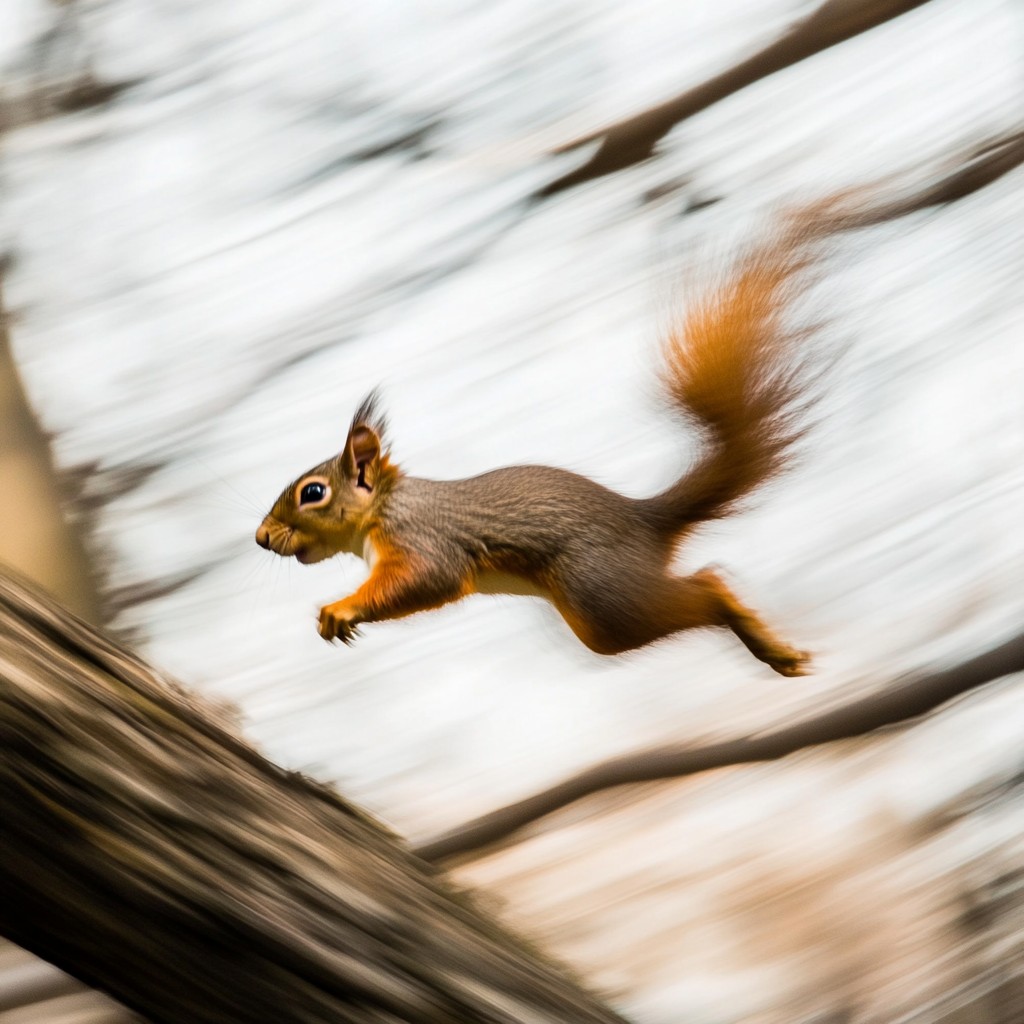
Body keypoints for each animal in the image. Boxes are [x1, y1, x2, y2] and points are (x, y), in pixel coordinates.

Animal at [256, 209, 834, 675]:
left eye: (312, 493)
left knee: (706, 586)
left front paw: (342, 607)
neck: (383, 509)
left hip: (604, 599)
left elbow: (429, 579)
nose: (261, 538)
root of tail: (644, 518)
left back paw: (757, 634)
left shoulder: (424, 538)